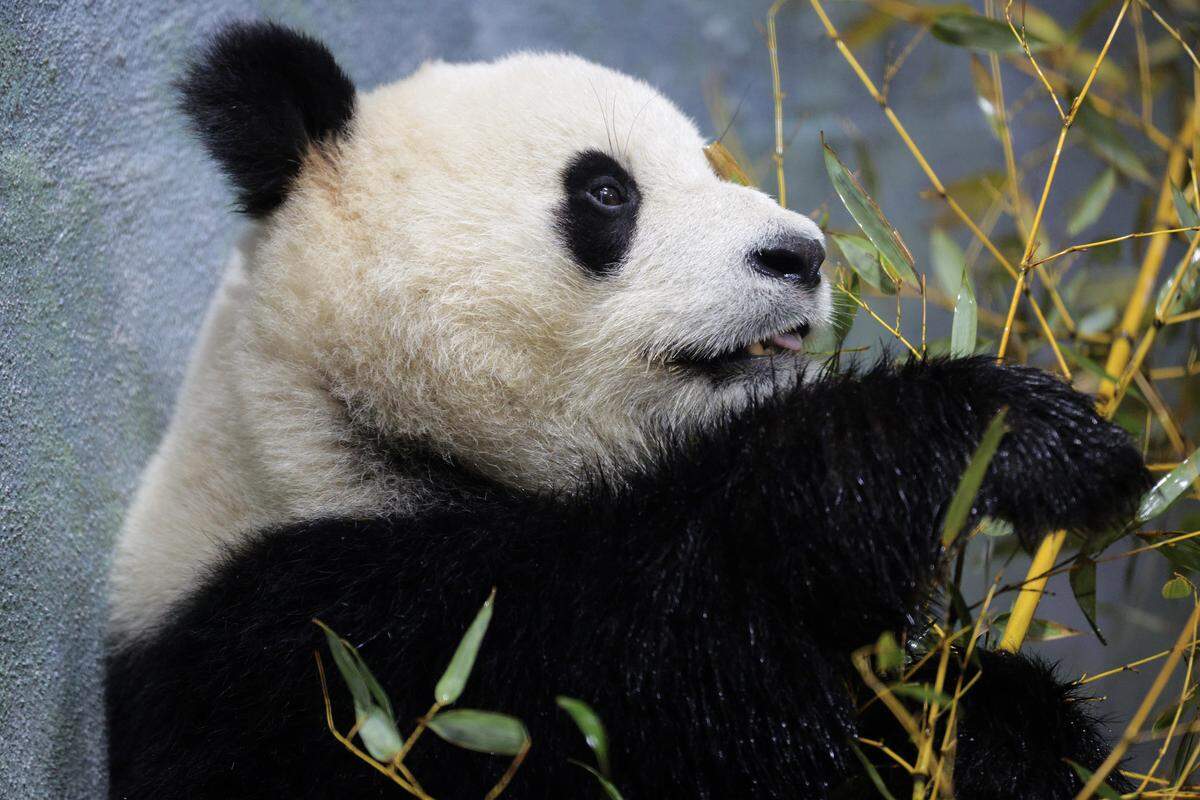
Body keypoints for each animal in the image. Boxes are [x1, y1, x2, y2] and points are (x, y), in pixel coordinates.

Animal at [107, 21, 1150, 800]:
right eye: (607, 190)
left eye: (708, 164)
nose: (803, 254)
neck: (338, 428)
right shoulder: (334, 651)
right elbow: (674, 653)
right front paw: (998, 435)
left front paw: (1007, 725)